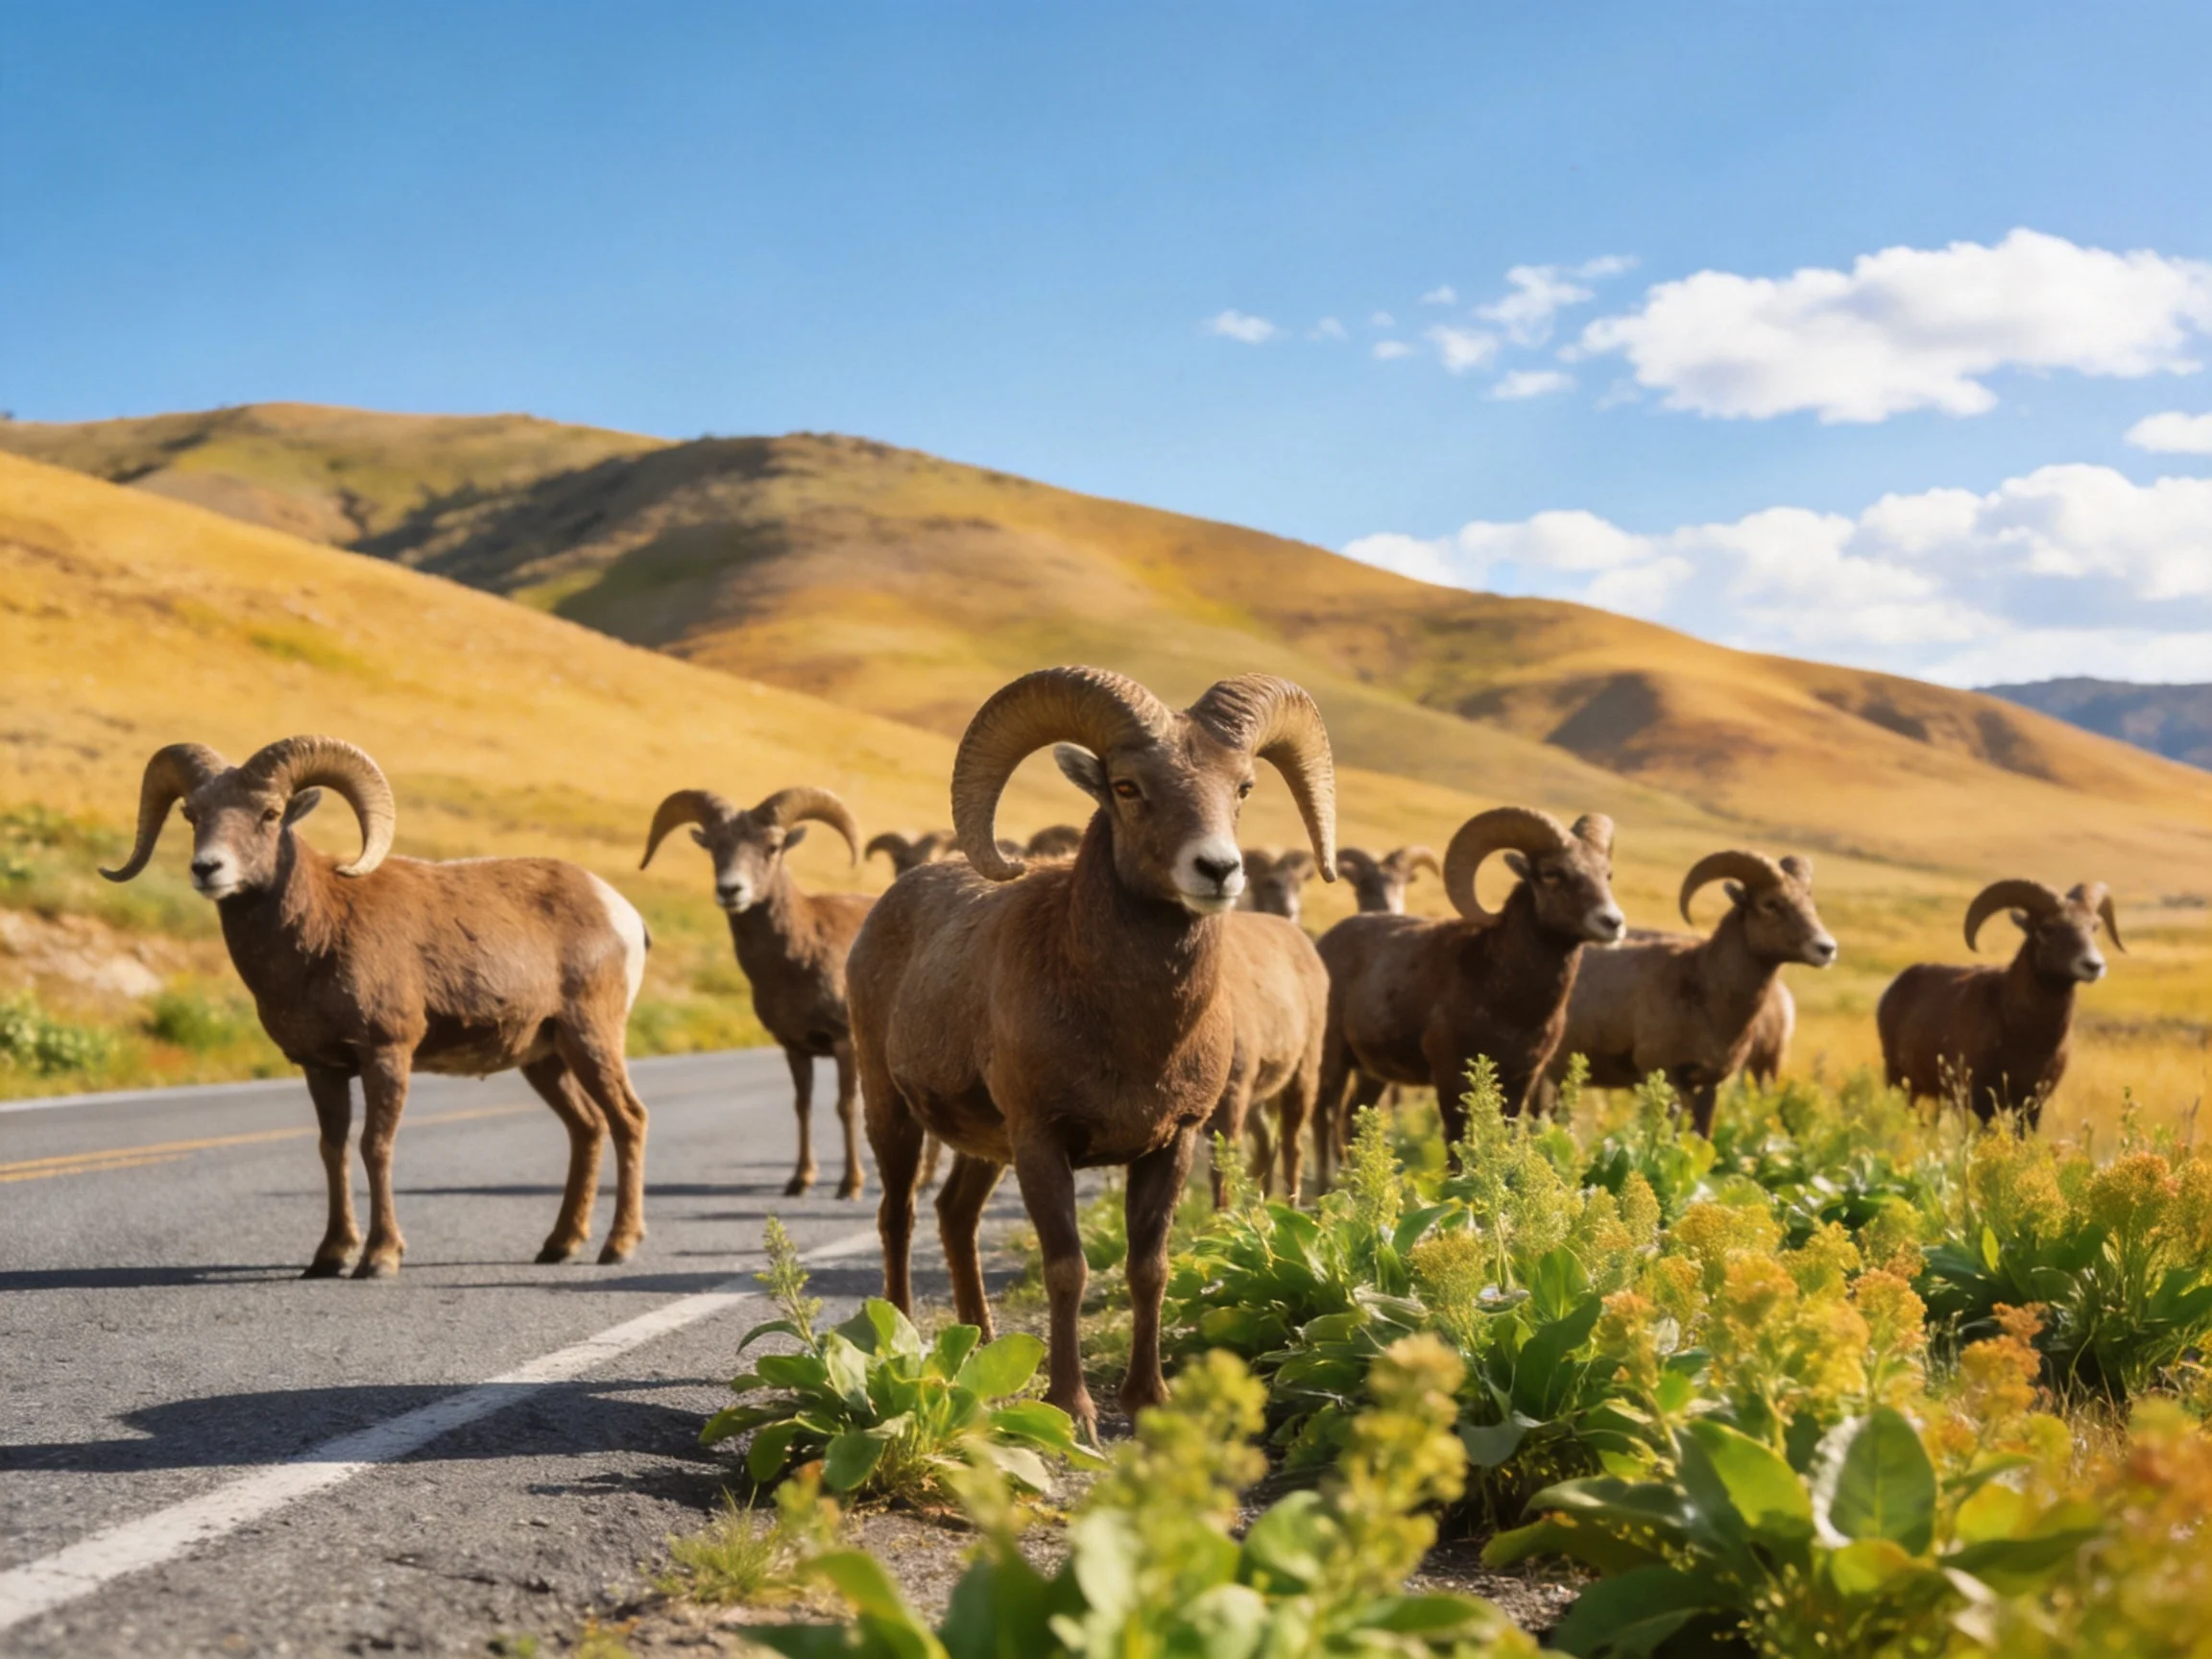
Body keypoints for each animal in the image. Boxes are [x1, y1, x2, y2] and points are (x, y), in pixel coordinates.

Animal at [101, 737, 650, 1278]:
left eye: (270, 812)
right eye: (193, 814)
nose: (207, 869)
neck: (321, 932)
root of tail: (620, 911)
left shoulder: (386, 1054)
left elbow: (375, 1145)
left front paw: (380, 1257)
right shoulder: (321, 1068)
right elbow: (333, 1149)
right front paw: (330, 1256)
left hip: (591, 1039)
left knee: (628, 1119)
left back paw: (618, 1247)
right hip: (547, 1061)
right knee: (588, 1128)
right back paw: (560, 1246)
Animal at [642, 786, 873, 1198]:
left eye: (773, 846)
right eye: (714, 845)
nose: (731, 890)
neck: (798, 957)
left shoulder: (844, 1042)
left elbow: (845, 1107)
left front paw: (850, 1185)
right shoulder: (795, 1048)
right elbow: (803, 1106)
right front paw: (799, 1181)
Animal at [1204, 910, 1329, 1205]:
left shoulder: (1233, 1089)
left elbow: (1223, 1172)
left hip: (1302, 1071)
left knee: (1291, 1147)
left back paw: (1293, 1207)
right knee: (1266, 1147)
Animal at [1315, 807, 1622, 1182]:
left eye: (1606, 874)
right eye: (1552, 873)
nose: (1612, 922)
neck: (1510, 1002)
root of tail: (1323, 943)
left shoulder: (1521, 1080)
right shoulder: (1450, 1077)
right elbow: (1457, 1145)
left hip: (1372, 1074)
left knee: (1349, 1120)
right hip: (1333, 1058)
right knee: (1324, 1117)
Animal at [1877, 878, 2123, 1125]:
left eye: (2094, 927)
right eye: (2047, 928)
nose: (2093, 965)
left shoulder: (2031, 1105)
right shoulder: (1982, 1101)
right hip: (1899, 1081)